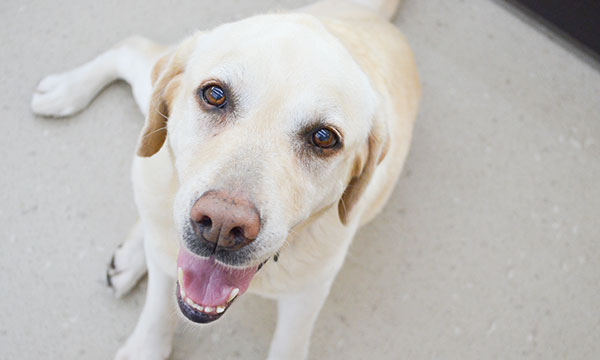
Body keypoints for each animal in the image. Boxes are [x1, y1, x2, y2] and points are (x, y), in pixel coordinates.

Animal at [30, 1, 420, 358]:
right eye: (215, 94)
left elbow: (289, 344)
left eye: (324, 137)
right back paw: (66, 90)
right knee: (132, 46)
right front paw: (147, 347)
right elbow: (157, 308)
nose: (222, 224)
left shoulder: (307, 295)